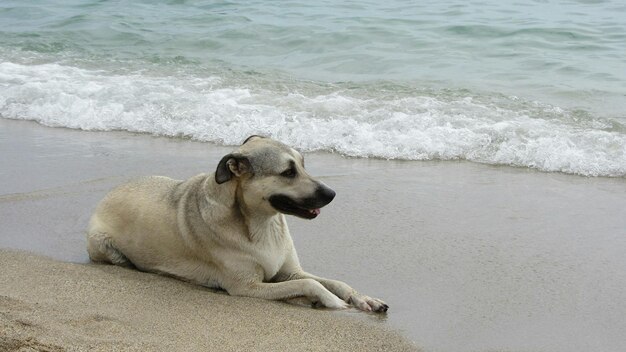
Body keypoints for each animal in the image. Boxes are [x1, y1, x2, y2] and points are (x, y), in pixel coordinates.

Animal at [83, 135, 386, 310]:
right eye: (288, 172)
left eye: (303, 164)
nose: (332, 194)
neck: (261, 223)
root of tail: (109, 192)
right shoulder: (247, 287)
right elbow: (311, 285)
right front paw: (329, 300)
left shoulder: (290, 271)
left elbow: (333, 282)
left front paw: (363, 298)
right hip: (103, 244)